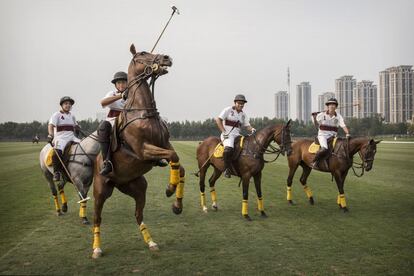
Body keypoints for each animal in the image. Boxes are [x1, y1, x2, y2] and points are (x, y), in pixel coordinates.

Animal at [93, 45, 187, 258]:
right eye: (142, 54)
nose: (167, 58)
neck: (143, 111)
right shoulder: (143, 150)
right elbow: (174, 157)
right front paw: (170, 189)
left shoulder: (165, 143)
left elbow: (180, 165)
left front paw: (177, 205)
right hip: (100, 191)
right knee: (97, 218)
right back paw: (96, 249)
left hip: (137, 187)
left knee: (138, 215)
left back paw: (151, 242)